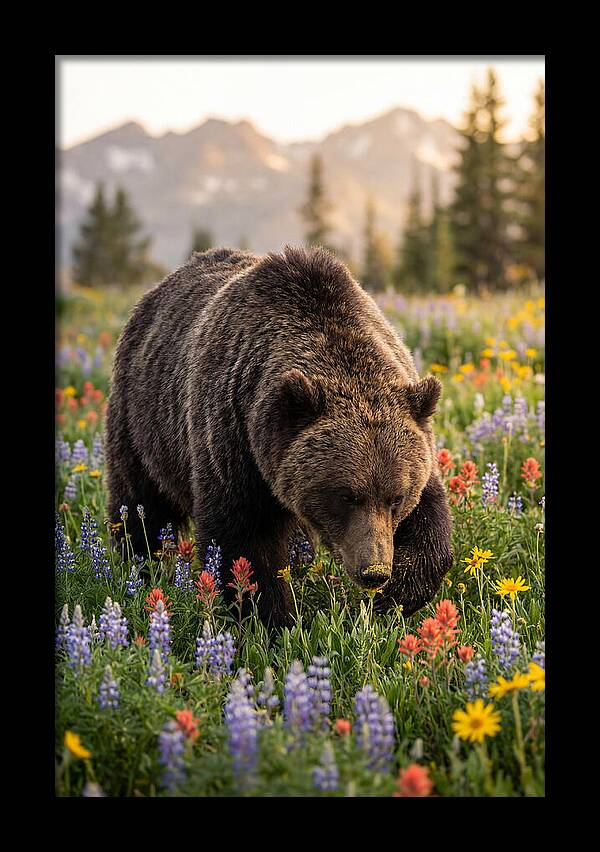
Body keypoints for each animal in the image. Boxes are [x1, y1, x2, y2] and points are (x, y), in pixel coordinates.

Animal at [105, 245, 452, 627]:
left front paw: (396, 598)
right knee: (140, 503)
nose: (373, 571)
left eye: (396, 497)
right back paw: (138, 566)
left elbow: (430, 521)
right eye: (346, 496)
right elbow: (245, 542)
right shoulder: (234, 440)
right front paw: (271, 621)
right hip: (143, 422)